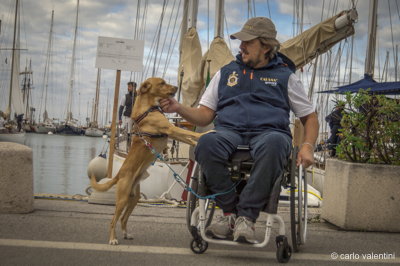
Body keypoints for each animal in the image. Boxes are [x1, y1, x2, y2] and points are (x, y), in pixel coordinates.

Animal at [89, 77, 205, 245]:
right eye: (162, 83)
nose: (176, 87)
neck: (149, 107)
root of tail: (119, 174)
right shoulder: (171, 129)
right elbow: (192, 134)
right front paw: (209, 133)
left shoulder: (173, 132)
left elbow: (190, 138)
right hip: (122, 198)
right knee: (113, 220)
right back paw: (113, 239)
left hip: (134, 198)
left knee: (123, 218)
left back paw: (126, 234)